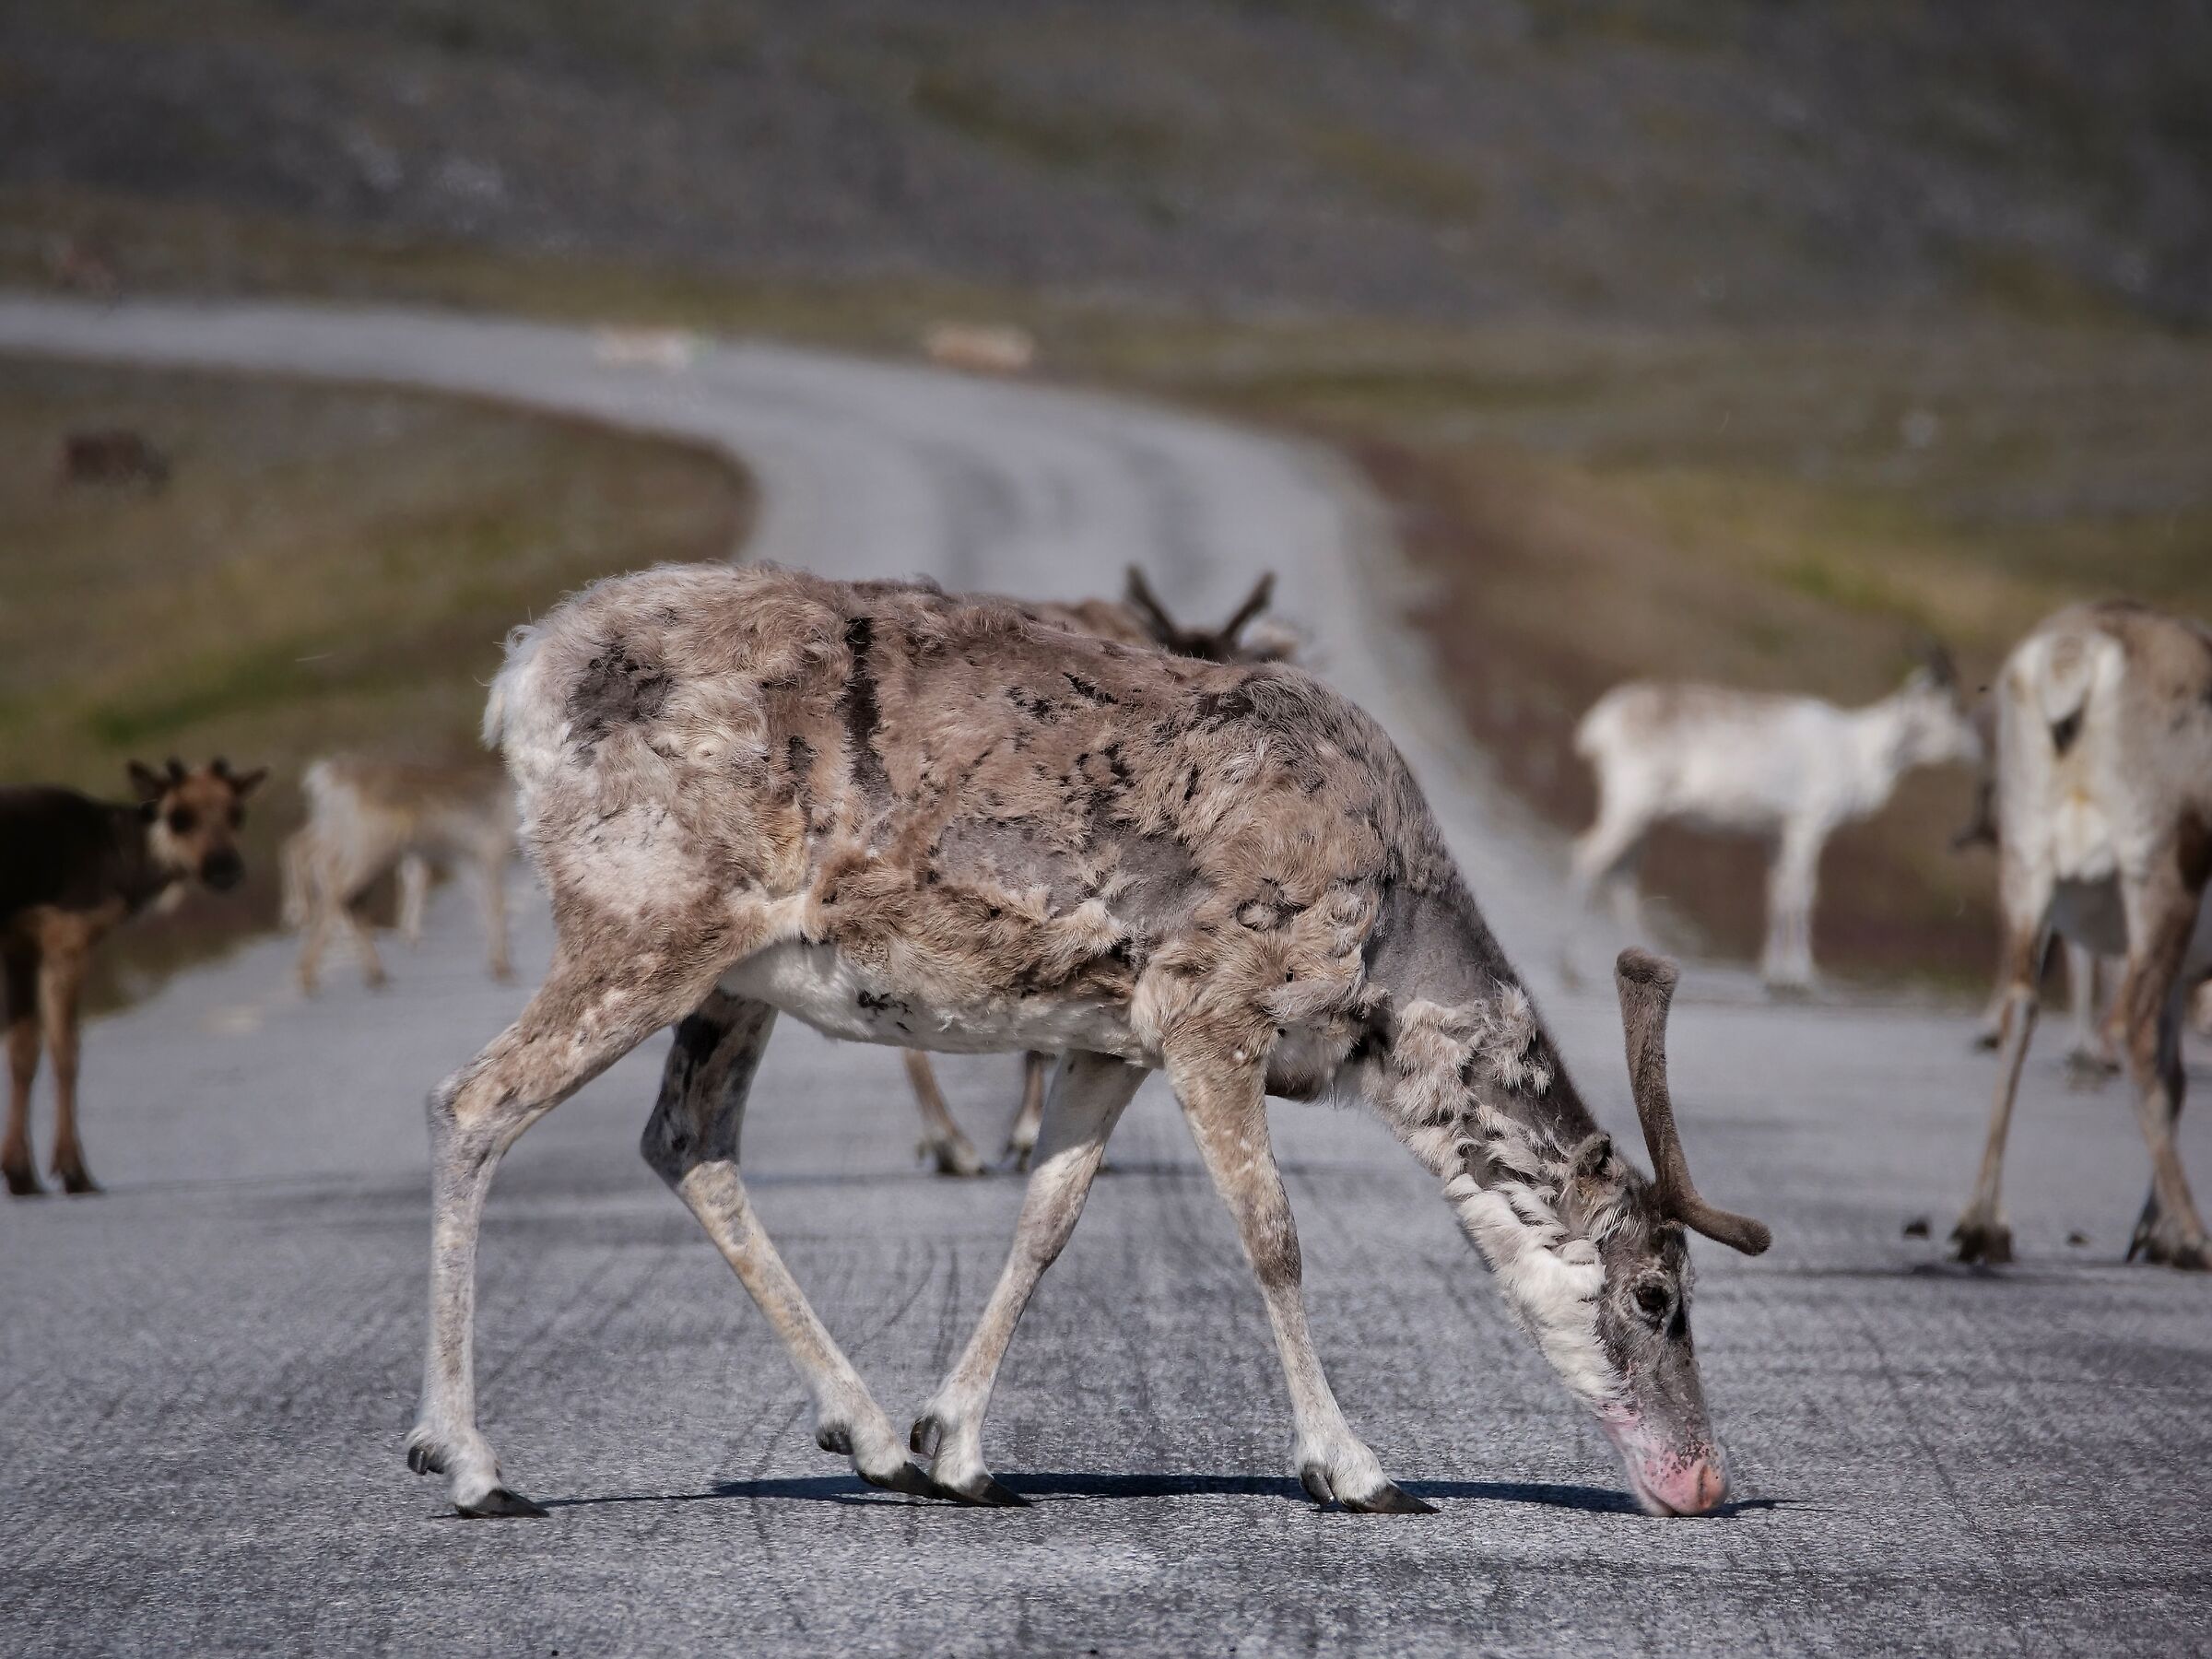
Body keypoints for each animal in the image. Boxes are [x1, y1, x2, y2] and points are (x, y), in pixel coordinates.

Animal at [1, 758, 264, 1196]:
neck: (119, 857)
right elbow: (66, 1052)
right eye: (178, 817)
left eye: (236, 812)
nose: (224, 869)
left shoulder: (20, 947)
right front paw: (75, 1173)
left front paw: (22, 1175)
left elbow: (23, 1052)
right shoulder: (66, 939)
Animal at [282, 756, 515, 994]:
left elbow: (485, 906)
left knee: (306, 855)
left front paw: (496, 965)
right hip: (364, 842)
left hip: (335, 832)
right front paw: (503, 969)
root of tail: (322, 778)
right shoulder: (489, 848)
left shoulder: (466, 857)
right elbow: (496, 905)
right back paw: (308, 970)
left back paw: (373, 973)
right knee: (332, 886)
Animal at [1571, 649, 1982, 989]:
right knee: (1589, 856)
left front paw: (1772, 970)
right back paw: (1573, 963)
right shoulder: (1808, 826)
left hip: (1642, 816)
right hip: (1630, 803)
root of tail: (1602, 723)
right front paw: (1799, 975)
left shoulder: (1776, 834)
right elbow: (1801, 894)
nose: (1977, 745)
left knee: (1622, 872)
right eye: (1953, 708)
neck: (1857, 748)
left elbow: (1776, 892)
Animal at [1951, 600, 2212, 1271]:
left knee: (2020, 1009)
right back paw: (2197, 1236)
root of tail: (2079, 657)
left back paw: (1984, 1225)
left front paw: (2152, 1232)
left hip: (2027, 872)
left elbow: (2179, 1076)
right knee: (2131, 1031)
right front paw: (2165, 1233)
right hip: (2160, 881)